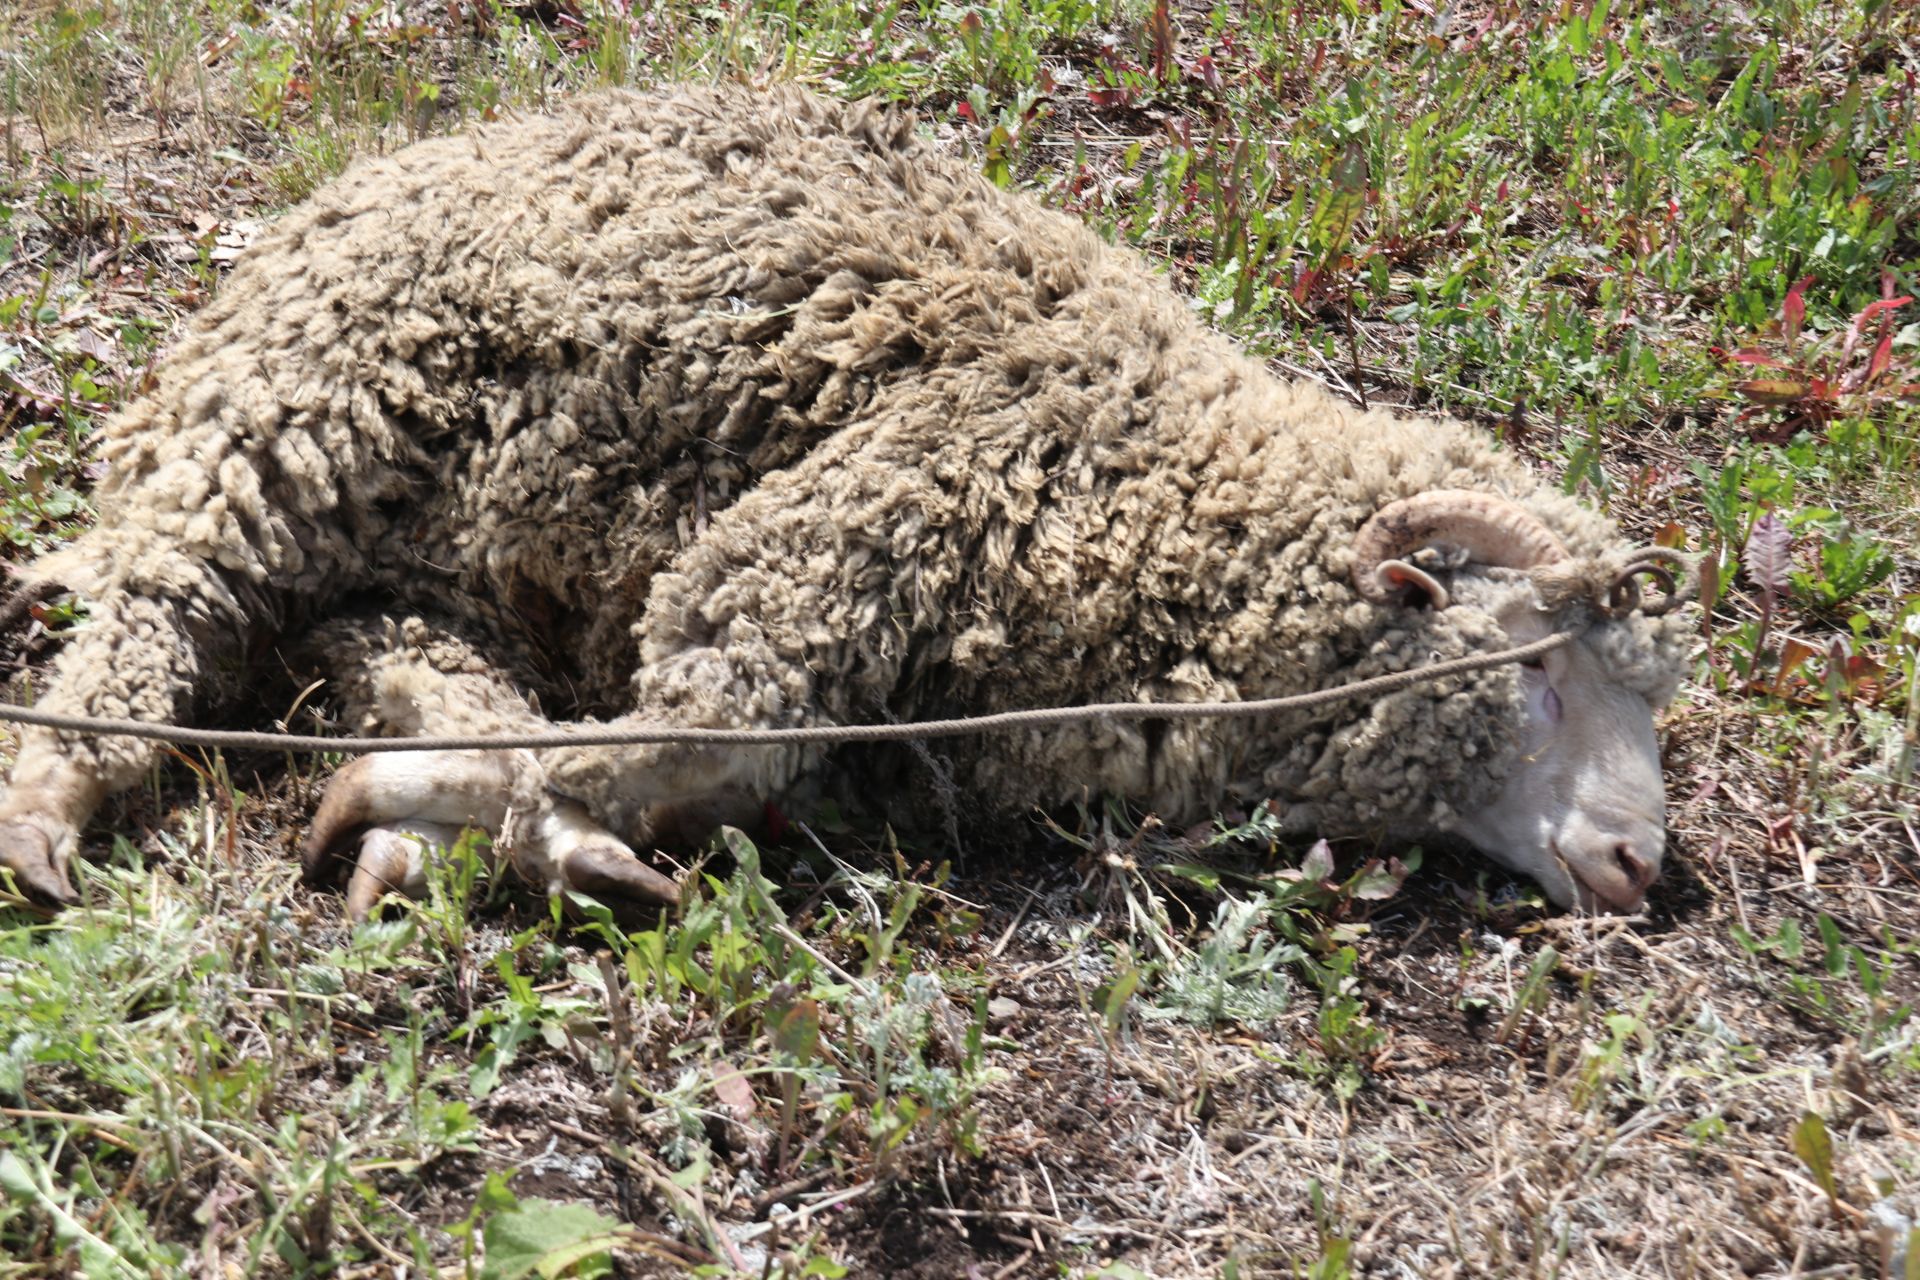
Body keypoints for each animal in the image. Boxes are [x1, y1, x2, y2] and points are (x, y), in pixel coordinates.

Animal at [0, 82, 1697, 921]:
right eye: (1535, 673)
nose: (1636, 867)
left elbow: (681, 762)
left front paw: (492, 820)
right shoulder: (824, 550)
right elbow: (693, 738)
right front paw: (446, 806)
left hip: (421, 543)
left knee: (384, 635)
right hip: (295, 417)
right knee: (151, 624)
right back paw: (53, 805)